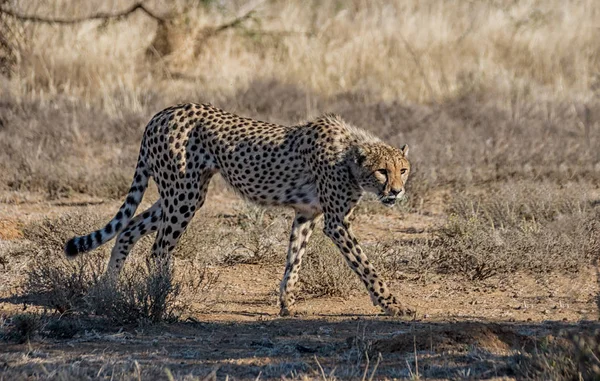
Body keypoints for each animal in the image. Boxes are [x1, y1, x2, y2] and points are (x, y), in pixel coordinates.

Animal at [65, 102, 412, 316]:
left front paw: (287, 304)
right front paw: (393, 305)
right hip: (183, 195)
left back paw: (108, 292)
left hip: (182, 193)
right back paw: (162, 299)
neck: (350, 156)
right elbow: (365, 265)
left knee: (128, 229)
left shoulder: (307, 214)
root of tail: (163, 112)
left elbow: (294, 260)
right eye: (383, 171)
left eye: (404, 170)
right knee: (158, 249)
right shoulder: (336, 222)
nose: (397, 191)